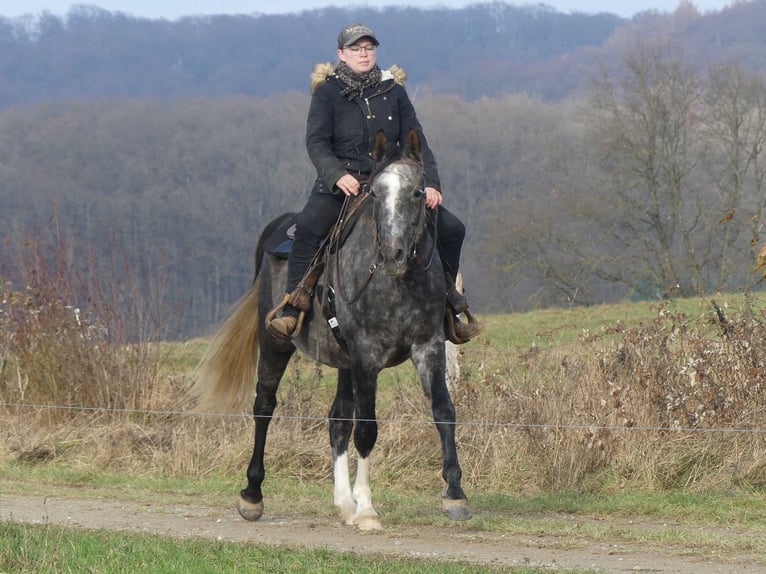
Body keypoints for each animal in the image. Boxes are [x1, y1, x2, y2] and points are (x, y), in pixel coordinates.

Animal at [191, 128, 471, 530]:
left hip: (343, 360)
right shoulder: (367, 355)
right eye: (375, 193)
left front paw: (454, 494)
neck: (395, 282)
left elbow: (443, 410)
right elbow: (367, 428)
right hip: (277, 343)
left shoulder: (427, 345)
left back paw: (344, 503)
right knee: (264, 406)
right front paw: (368, 508)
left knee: (337, 419)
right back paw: (252, 495)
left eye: (418, 192)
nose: (393, 254)